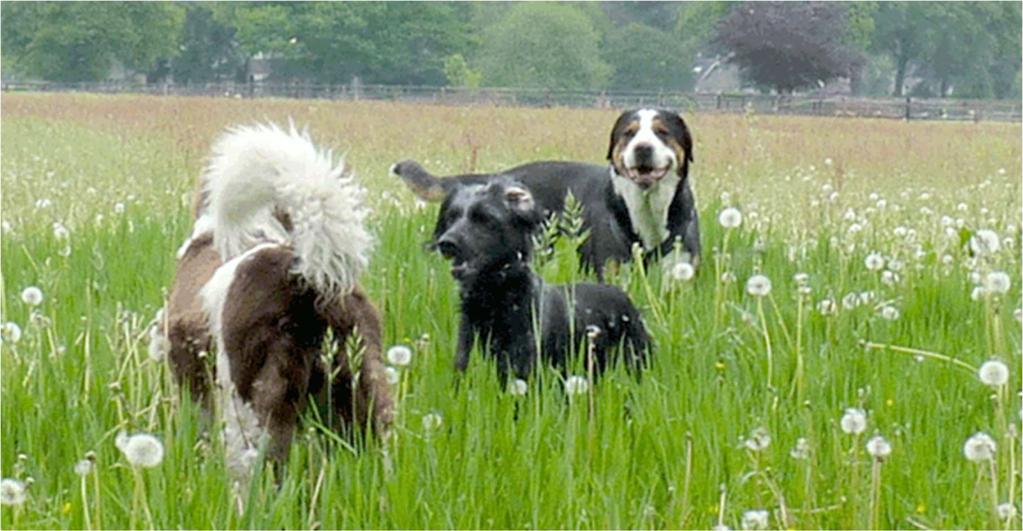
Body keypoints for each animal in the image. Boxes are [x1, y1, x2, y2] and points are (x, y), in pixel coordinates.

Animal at [392, 105, 703, 276]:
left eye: (662, 132)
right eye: (629, 133)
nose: (643, 148)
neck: (647, 211)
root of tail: (499, 176)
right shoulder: (612, 271)